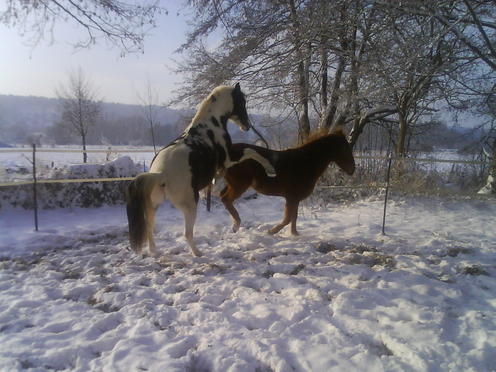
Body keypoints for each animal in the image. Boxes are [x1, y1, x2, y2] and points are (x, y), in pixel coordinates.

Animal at [126, 83, 276, 256]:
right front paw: (270, 168)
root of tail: (160, 174)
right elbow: (251, 151)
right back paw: (198, 253)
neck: (210, 125)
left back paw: (154, 252)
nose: (247, 125)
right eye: (242, 101)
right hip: (190, 204)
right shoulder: (229, 158)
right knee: (187, 233)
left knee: (150, 228)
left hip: (154, 206)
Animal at [219, 126, 354, 234]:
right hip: (239, 185)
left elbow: (294, 218)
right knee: (225, 199)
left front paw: (294, 235)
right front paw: (271, 231)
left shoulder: (296, 199)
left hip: (233, 184)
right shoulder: (291, 198)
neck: (306, 163)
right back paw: (236, 224)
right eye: (345, 148)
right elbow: (288, 219)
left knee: (223, 196)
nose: (352, 169)